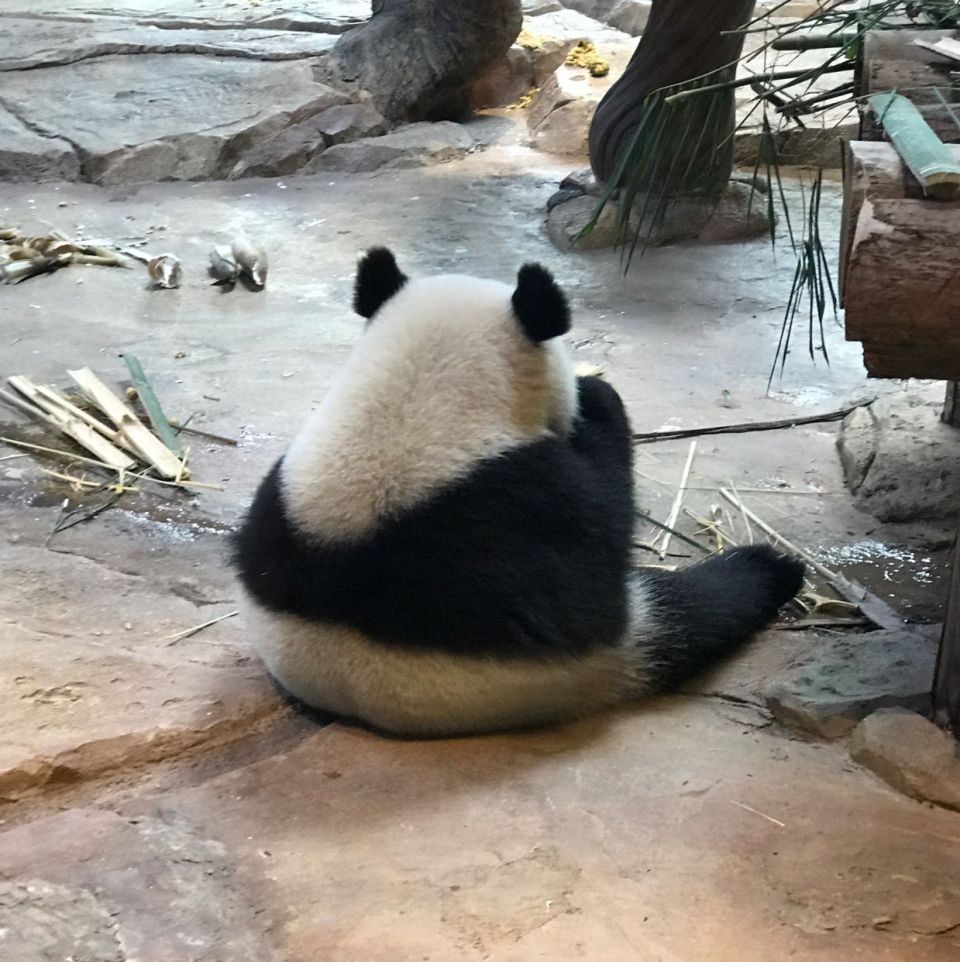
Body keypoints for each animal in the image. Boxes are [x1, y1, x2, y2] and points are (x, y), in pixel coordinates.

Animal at [233, 248, 805, 737]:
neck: (414, 396)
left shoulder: (276, 491)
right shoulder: (531, 507)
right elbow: (592, 576)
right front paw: (598, 399)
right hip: (613, 654)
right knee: (700, 606)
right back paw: (772, 567)